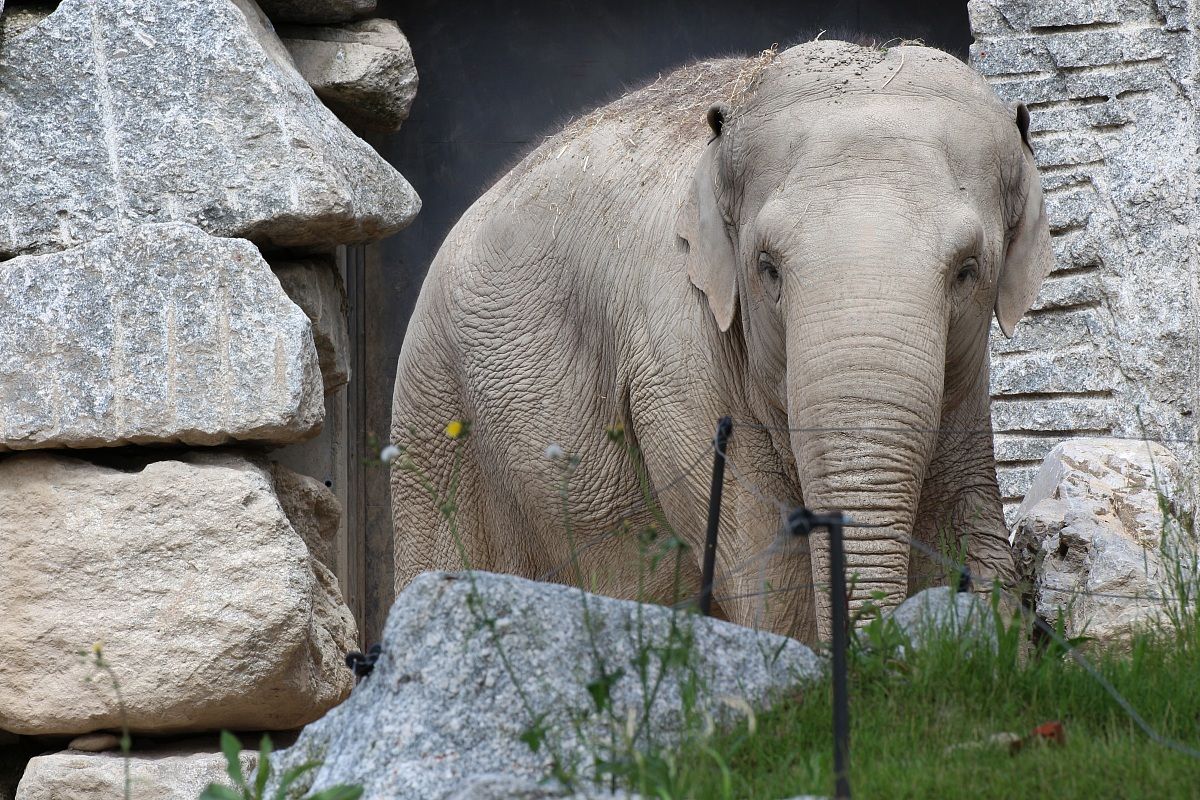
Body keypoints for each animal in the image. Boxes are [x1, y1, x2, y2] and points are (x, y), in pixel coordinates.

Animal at [389, 39, 1052, 642]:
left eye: (967, 270)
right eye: (768, 268)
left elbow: (969, 524)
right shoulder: (676, 355)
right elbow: (769, 560)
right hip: (434, 420)